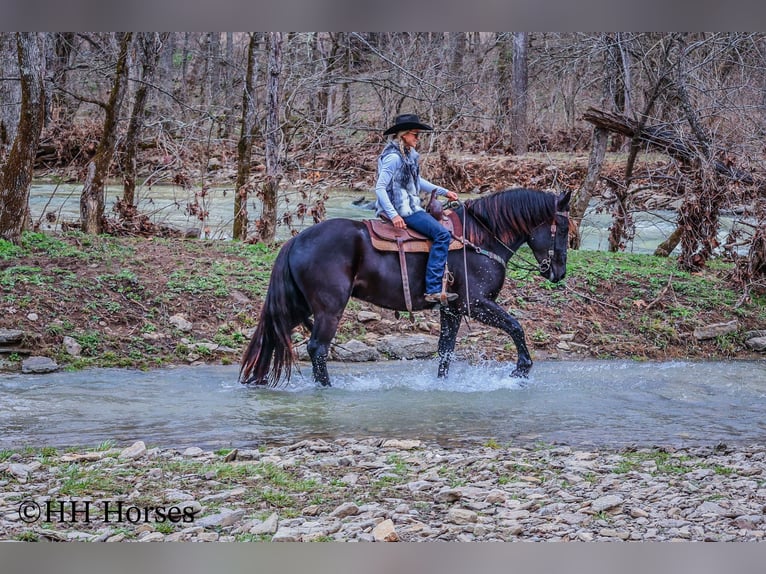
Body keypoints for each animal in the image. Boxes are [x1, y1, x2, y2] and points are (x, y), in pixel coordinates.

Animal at [239, 187, 571, 387]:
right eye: (564, 229)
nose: (558, 272)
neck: (480, 238)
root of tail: (295, 241)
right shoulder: (474, 304)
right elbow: (515, 326)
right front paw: (521, 369)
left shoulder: (451, 309)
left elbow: (445, 351)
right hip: (329, 309)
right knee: (317, 348)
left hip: (299, 305)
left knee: (272, 334)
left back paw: (257, 379)